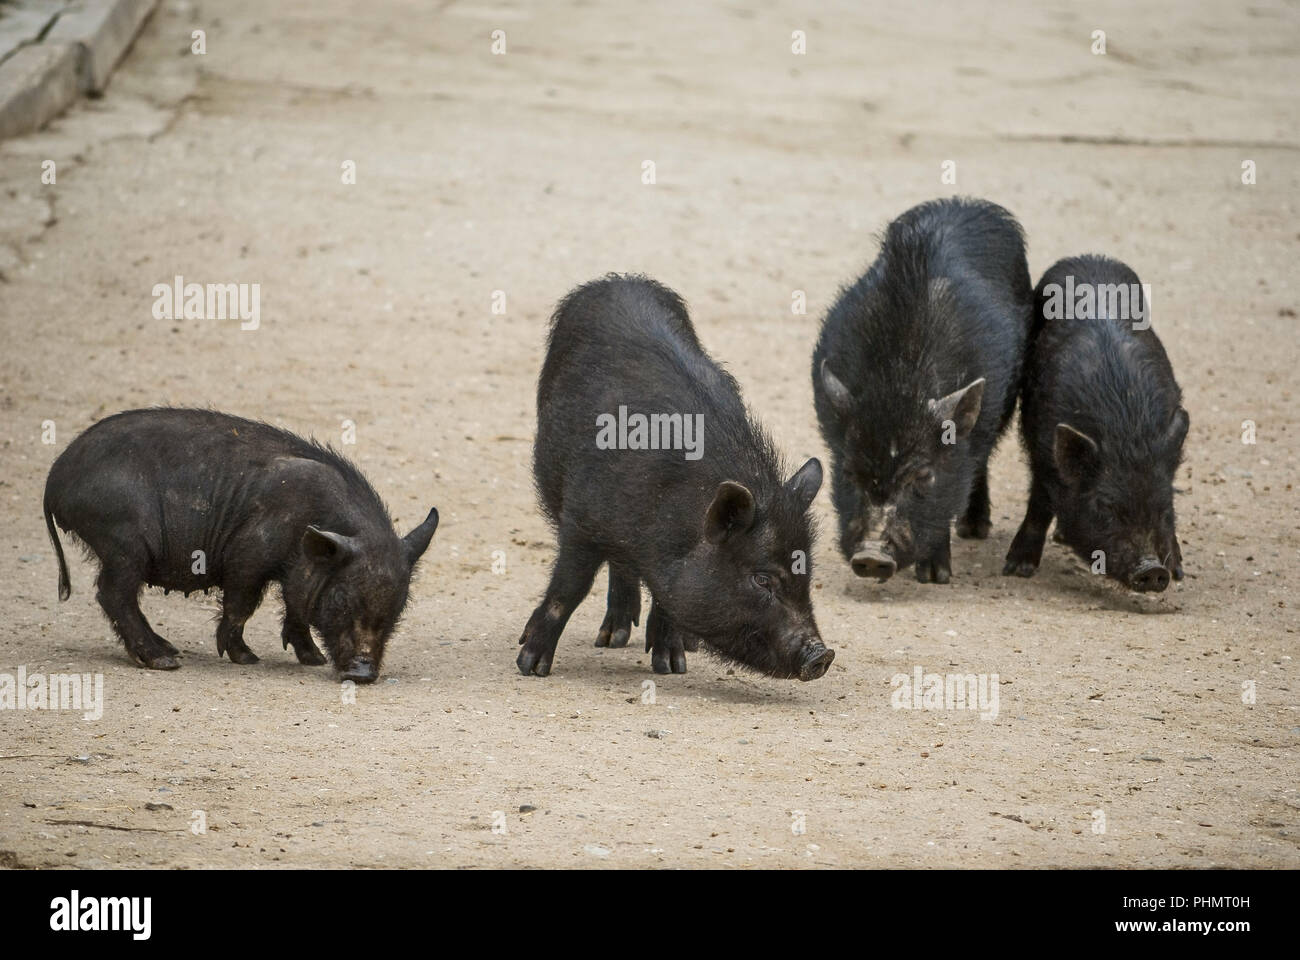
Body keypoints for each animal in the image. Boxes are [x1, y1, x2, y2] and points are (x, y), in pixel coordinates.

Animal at [43, 408, 439, 676]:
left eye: (399, 606)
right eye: (342, 598)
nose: (362, 673)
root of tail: (55, 478)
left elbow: (295, 607)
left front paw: (313, 660)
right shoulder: (249, 557)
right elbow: (242, 605)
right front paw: (248, 658)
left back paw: (170, 649)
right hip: (123, 544)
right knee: (112, 594)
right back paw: (165, 661)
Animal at [517, 273, 832, 681]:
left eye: (805, 574)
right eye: (762, 579)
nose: (822, 655)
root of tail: (621, 279)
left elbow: (666, 602)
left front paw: (671, 666)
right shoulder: (581, 519)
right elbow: (569, 588)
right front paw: (531, 666)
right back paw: (611, 639)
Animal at [811, 197, 1034, 580]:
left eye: (924, 475)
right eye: (849, 472)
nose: (871, 556)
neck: (900, 378)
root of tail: (964, 202)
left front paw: (935, 577)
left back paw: (973, 530)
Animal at [1003, 252, 1190, 590]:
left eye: (1165, 509)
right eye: (1104, 507)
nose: (1153, 570)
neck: (1126, 431)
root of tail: (1090, 256)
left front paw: (1180, 571)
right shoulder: (1040, 443)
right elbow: (1040, 500)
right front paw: (1016, 569)